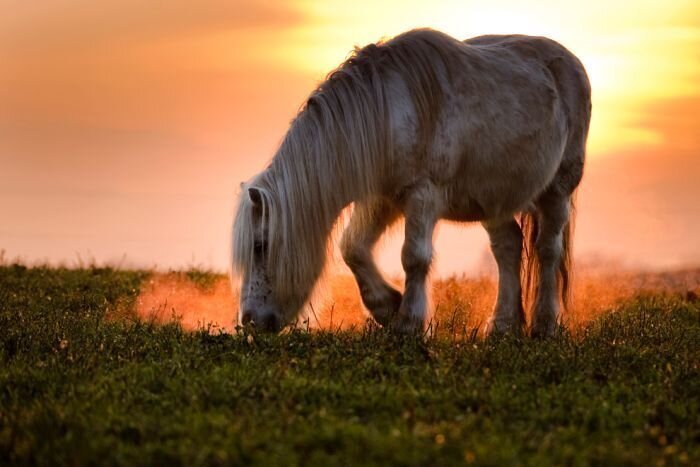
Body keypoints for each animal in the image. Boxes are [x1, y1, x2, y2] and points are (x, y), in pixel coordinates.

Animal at [231, 28, 592, 336]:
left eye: (260, 245)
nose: (249, 321)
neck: (386, 113)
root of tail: (571, 62)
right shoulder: (380, 199)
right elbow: (353, 248)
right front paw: (387, 308)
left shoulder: (421, 195)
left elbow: (414, 257)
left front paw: (409, 322)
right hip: (494, 199)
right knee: (508, 248)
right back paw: (503, 327)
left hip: (558, 189)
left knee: (547, 250)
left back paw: (544, 326)